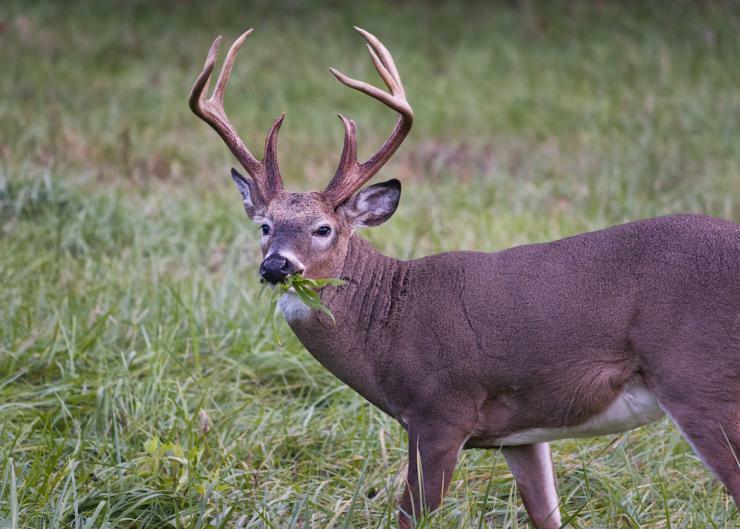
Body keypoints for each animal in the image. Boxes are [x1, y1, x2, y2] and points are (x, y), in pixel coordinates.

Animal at [189, 27, 740, 528]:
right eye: (264, 225)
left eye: (323, 228)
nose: (276, 266)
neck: (388, 324)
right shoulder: (522, 431)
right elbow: (546, 514)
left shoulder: (440, 411)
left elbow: (410, 517)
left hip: (699, 378)